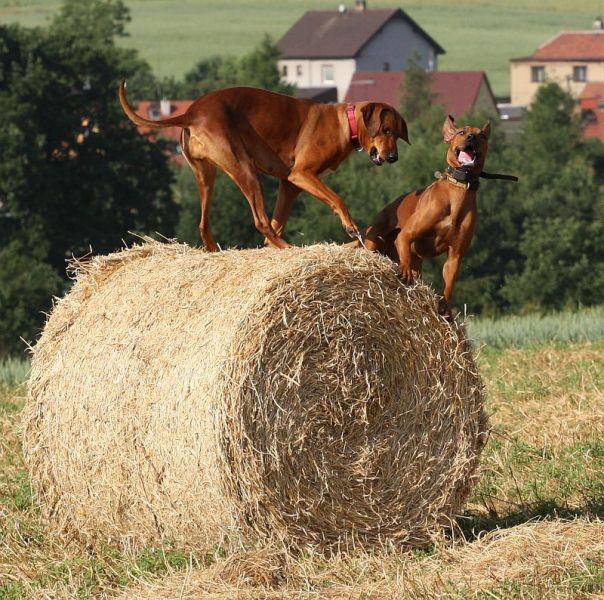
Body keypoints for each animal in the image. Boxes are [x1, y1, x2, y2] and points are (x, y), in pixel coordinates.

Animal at [119, 82, 409, 251]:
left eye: (396, 133)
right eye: (385, 130)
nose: (393, 157)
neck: (345, 123)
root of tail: (192, 112)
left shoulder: (290, 185)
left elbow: (278, 220)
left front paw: (268, 248)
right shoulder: (302, 174)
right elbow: (337, 199)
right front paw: (350, 226)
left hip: (206, 176)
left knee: (204, 224)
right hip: (244, 168)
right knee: (260, 221)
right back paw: (290, 249)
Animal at [351, 115, 492, 312]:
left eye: (482, 135)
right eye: (461, 132)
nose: (472, 137)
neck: (458, 190)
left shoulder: (455, 256)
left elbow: (448, 286)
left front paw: (445, 308)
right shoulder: (405, 235)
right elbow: (405, 252)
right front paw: (405, 273)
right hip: (372, 243)